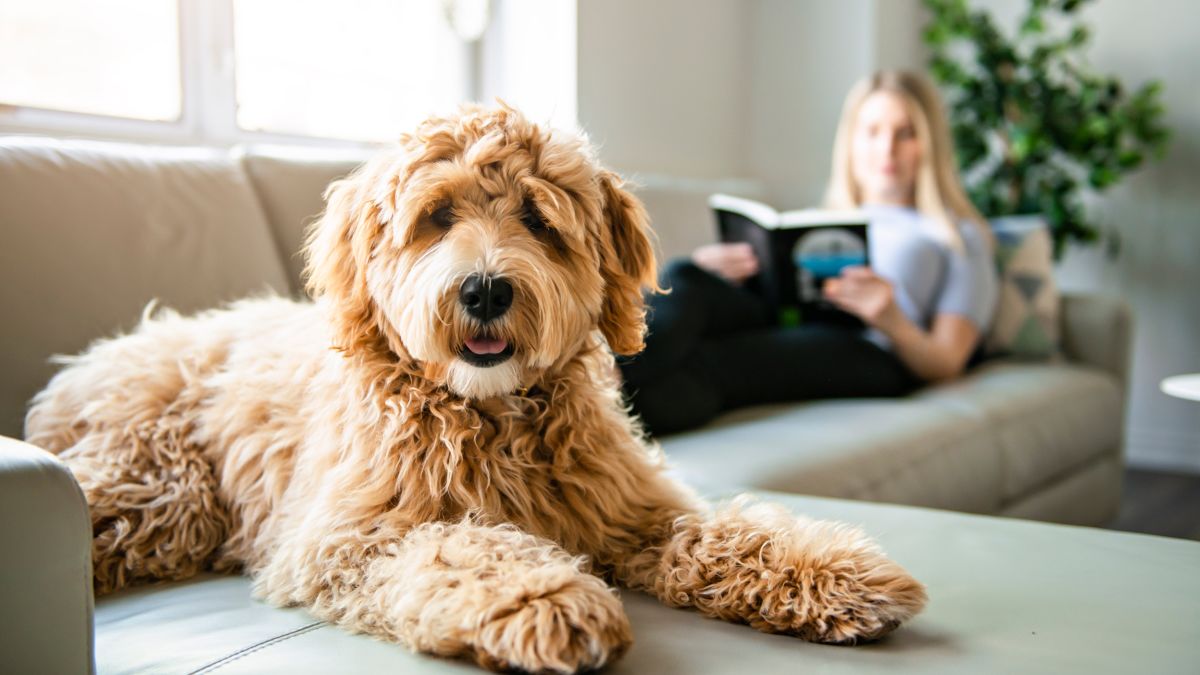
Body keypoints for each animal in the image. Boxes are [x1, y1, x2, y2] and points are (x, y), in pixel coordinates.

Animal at [25, 102, 926, 667]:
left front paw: (834, 570)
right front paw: (544, 598)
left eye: (537, 218)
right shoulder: (348, 536)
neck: (492, 415)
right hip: (160, 488)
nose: (486, 290)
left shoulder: (633, 508)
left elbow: (725, 530)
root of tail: (101, 354)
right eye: (437, 217)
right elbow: (464, 545)